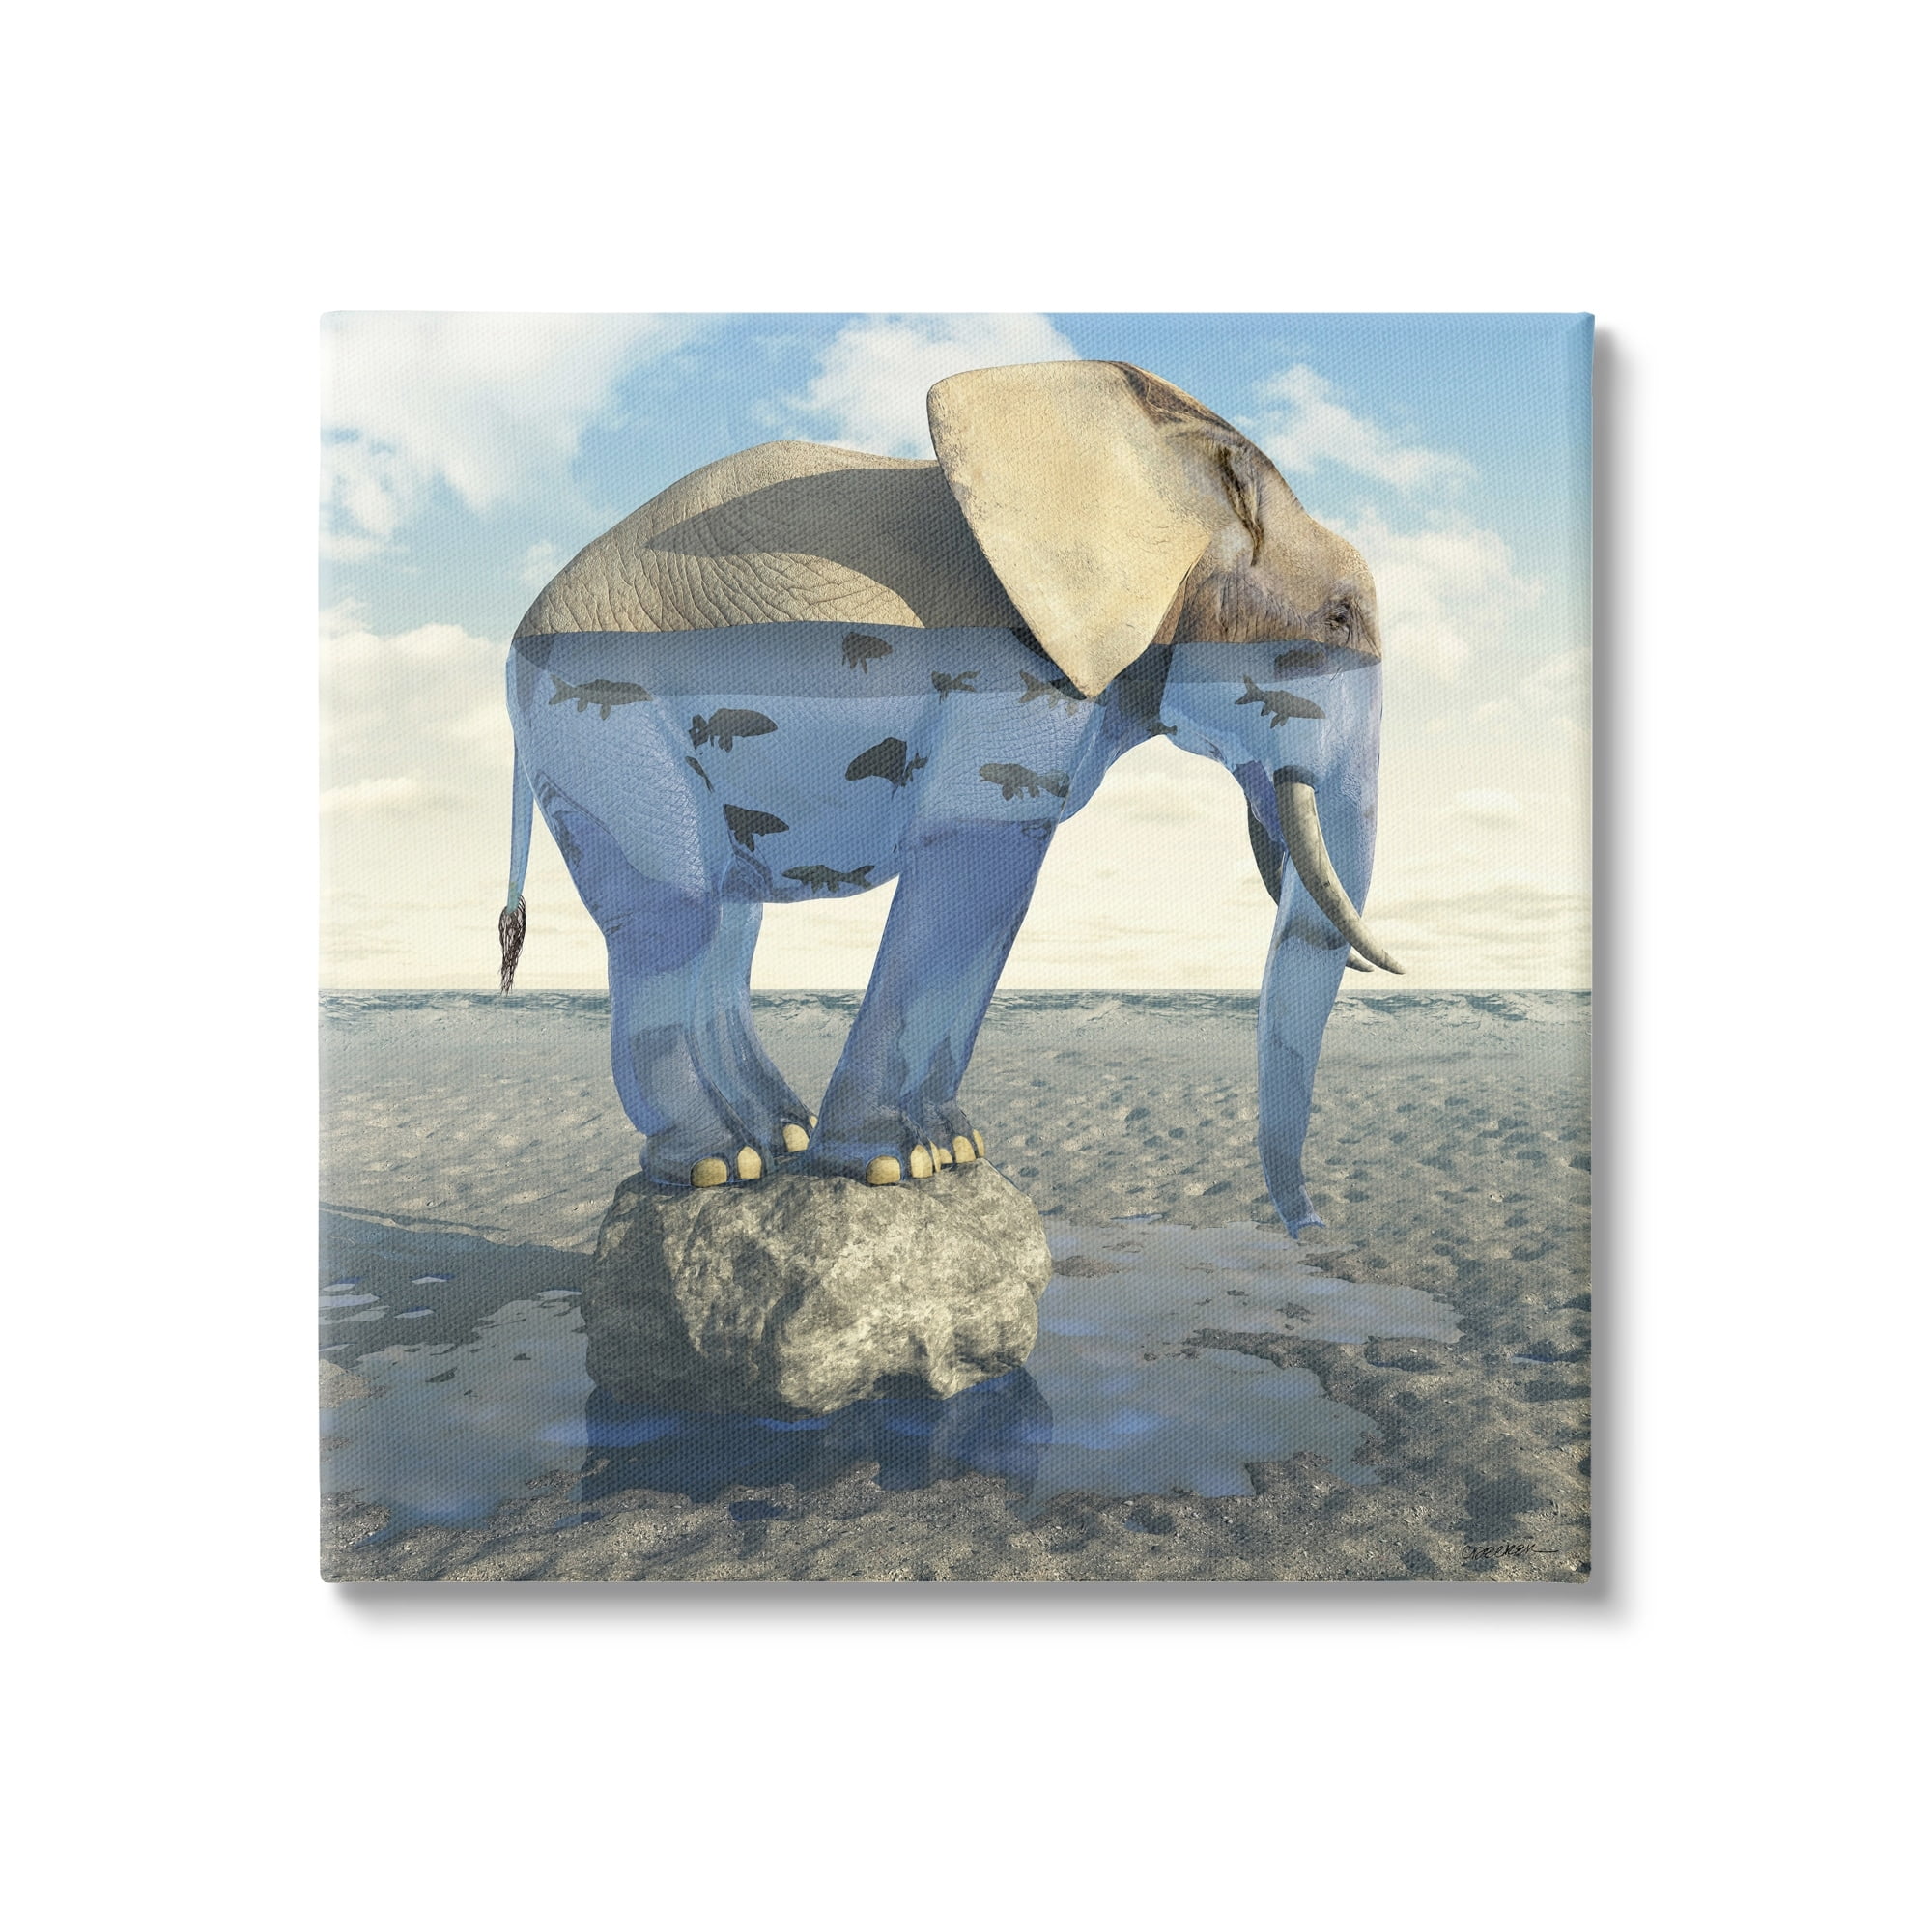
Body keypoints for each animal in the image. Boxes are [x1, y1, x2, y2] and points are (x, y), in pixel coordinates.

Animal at [499, 359, 1400, 1233]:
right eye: (1339, 618)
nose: (1311, 1227)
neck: (1171, 469)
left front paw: (954, 1151)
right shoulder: (1012, 676)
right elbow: (980, 867)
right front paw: (894, 1166)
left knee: (729, 918)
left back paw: (774, 1138)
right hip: (609, 739)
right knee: (675, 910)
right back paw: (719, 1165)